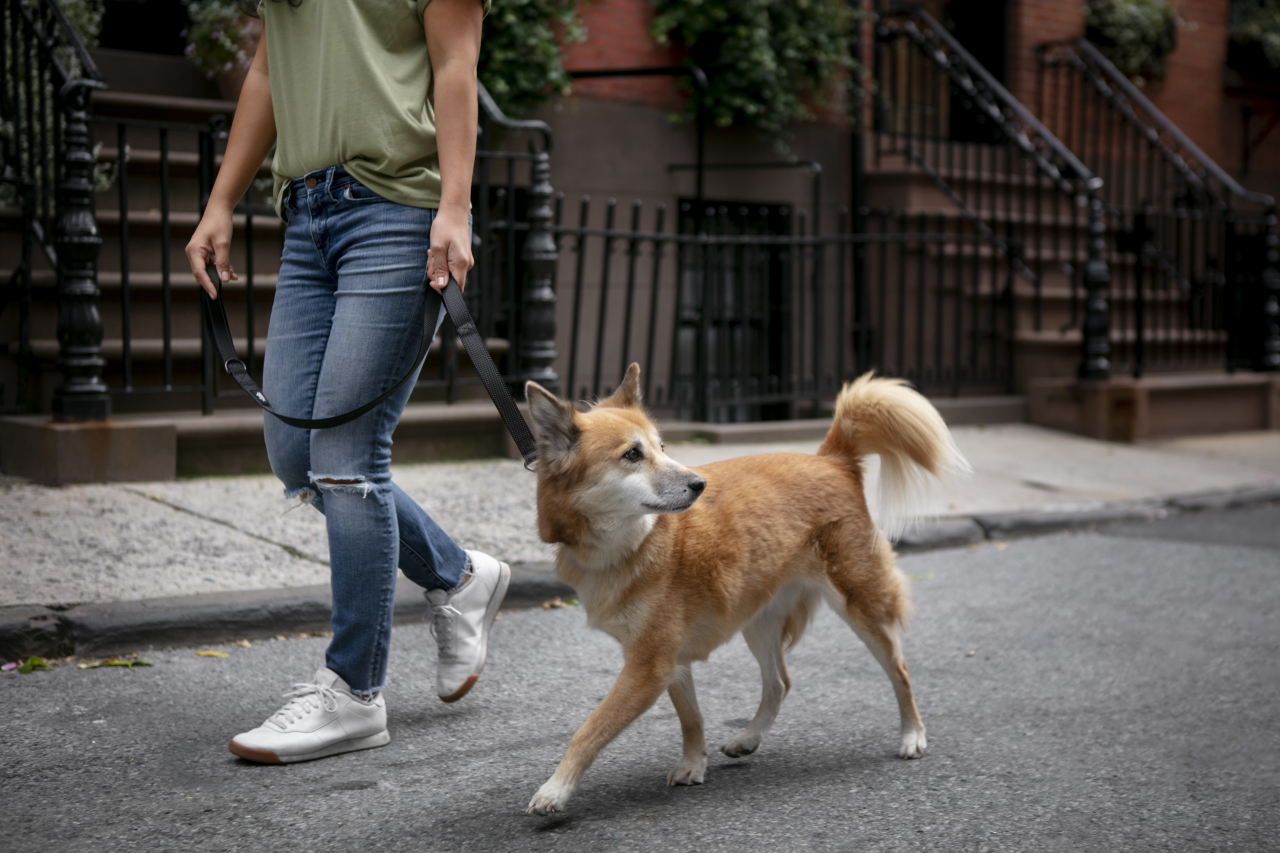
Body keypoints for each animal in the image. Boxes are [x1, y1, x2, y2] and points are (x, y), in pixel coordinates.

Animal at [524, 361, 962, 814]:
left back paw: (912, 734)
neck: (630, 543)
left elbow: (590, 729)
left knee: (899, 670)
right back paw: (749, 739)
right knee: (779, 683)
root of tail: (832, 460)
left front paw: (557, 788)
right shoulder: (668, 662)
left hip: (861, 605)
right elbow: (691, 718)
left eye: (662, 446)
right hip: (759, 621)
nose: (699, 484)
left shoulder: (647, 668)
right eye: (632, 454)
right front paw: (694, 764)